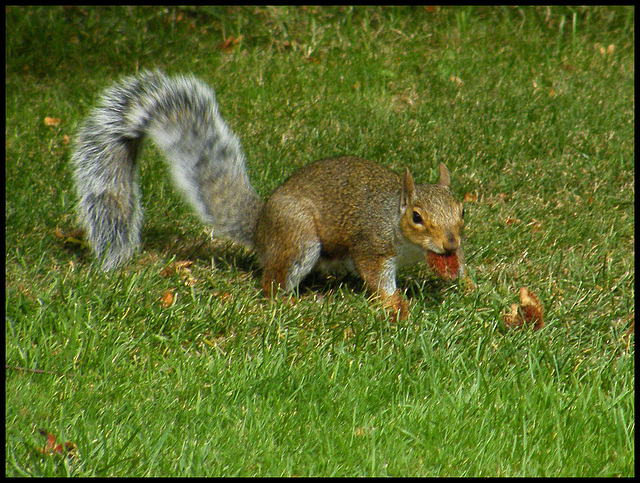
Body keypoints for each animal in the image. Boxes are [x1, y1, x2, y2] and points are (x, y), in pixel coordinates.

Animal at [71, 71, 464, 318]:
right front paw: (394, 304)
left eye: (461, 212)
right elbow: (377, 276)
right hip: (299, 237)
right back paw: (288, 303)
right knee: (273, 281)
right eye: (416, 217)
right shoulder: (371, 244)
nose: (450, 243)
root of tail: (261, 228)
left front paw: (466, 283)